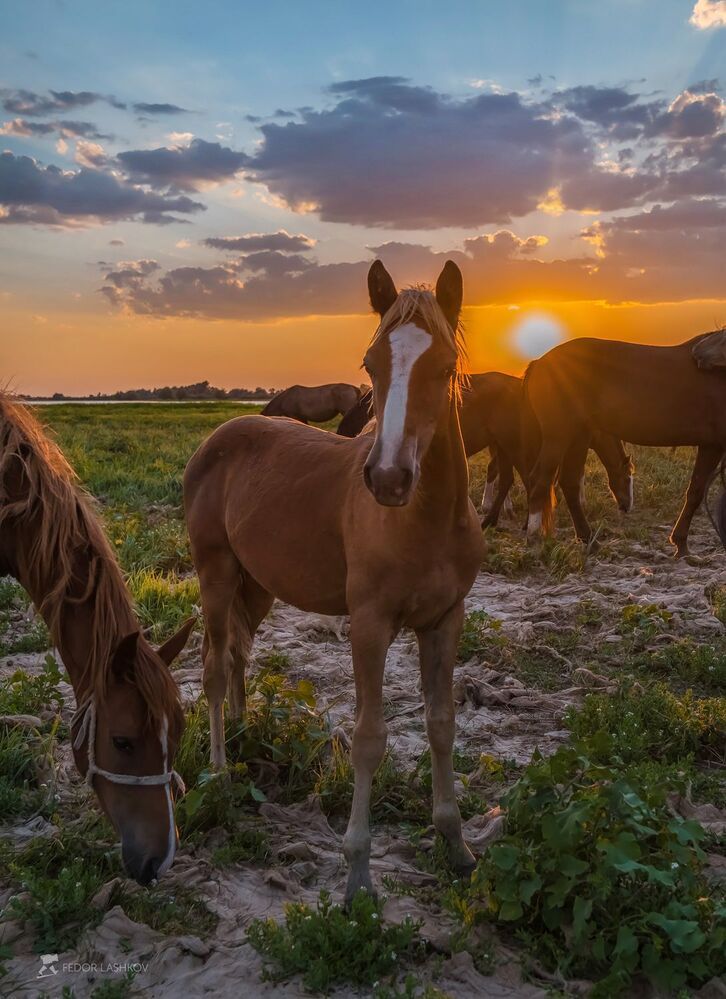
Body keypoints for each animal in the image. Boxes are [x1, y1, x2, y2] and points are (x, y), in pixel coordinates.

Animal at [184, 260, 483, 903]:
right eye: (371, 363)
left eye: (446, 365)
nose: (389, 478)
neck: (425, 518)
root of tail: (221, 435)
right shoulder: (369, 626)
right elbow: (369, 737)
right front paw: (358, 873)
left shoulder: (445, 621)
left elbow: (442, 725)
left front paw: (456, 845)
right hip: (215, 573)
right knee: (215, 666)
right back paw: (219, 773)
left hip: (258, 584)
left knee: (240, 653)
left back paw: (245, 737)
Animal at [338, 373, 634, 538]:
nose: (626, 506)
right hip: (505, 445)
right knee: (512, 479)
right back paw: (493, 519)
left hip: (510, 444)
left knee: (526, 479)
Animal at [523, 333, 726, 556]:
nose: (699, 356)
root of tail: (540, 363)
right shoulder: (713, 444)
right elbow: (696, 492)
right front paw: (681, 544)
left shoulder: (712, 445)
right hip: (558, 438)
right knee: (540, 480)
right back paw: (534, 538)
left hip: (578, 438)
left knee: (569, 483)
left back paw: (589, 539)